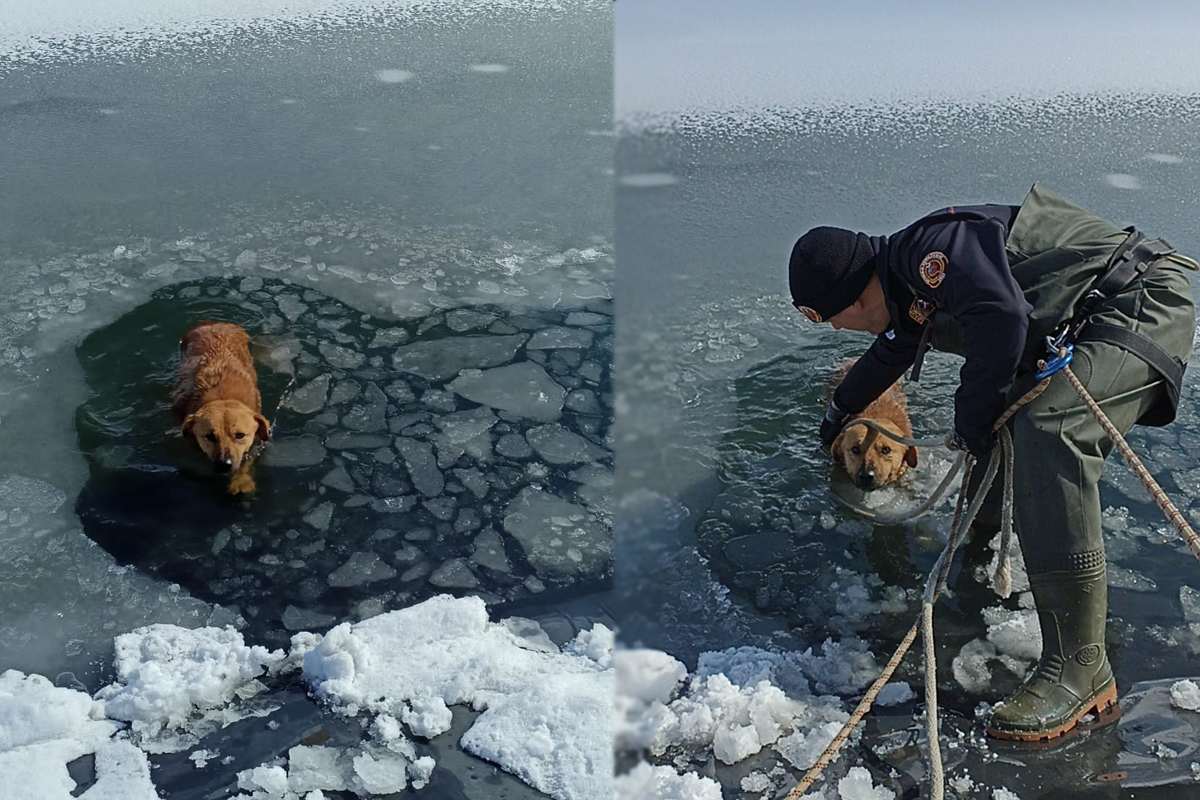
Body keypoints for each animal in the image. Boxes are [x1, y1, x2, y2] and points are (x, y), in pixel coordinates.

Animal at [172, 319, 271, 494]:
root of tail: (212, 323)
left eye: (240, 435)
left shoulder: (257, 440)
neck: (222, 396)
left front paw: (241, 480)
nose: (225, 465)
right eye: (209, 436)